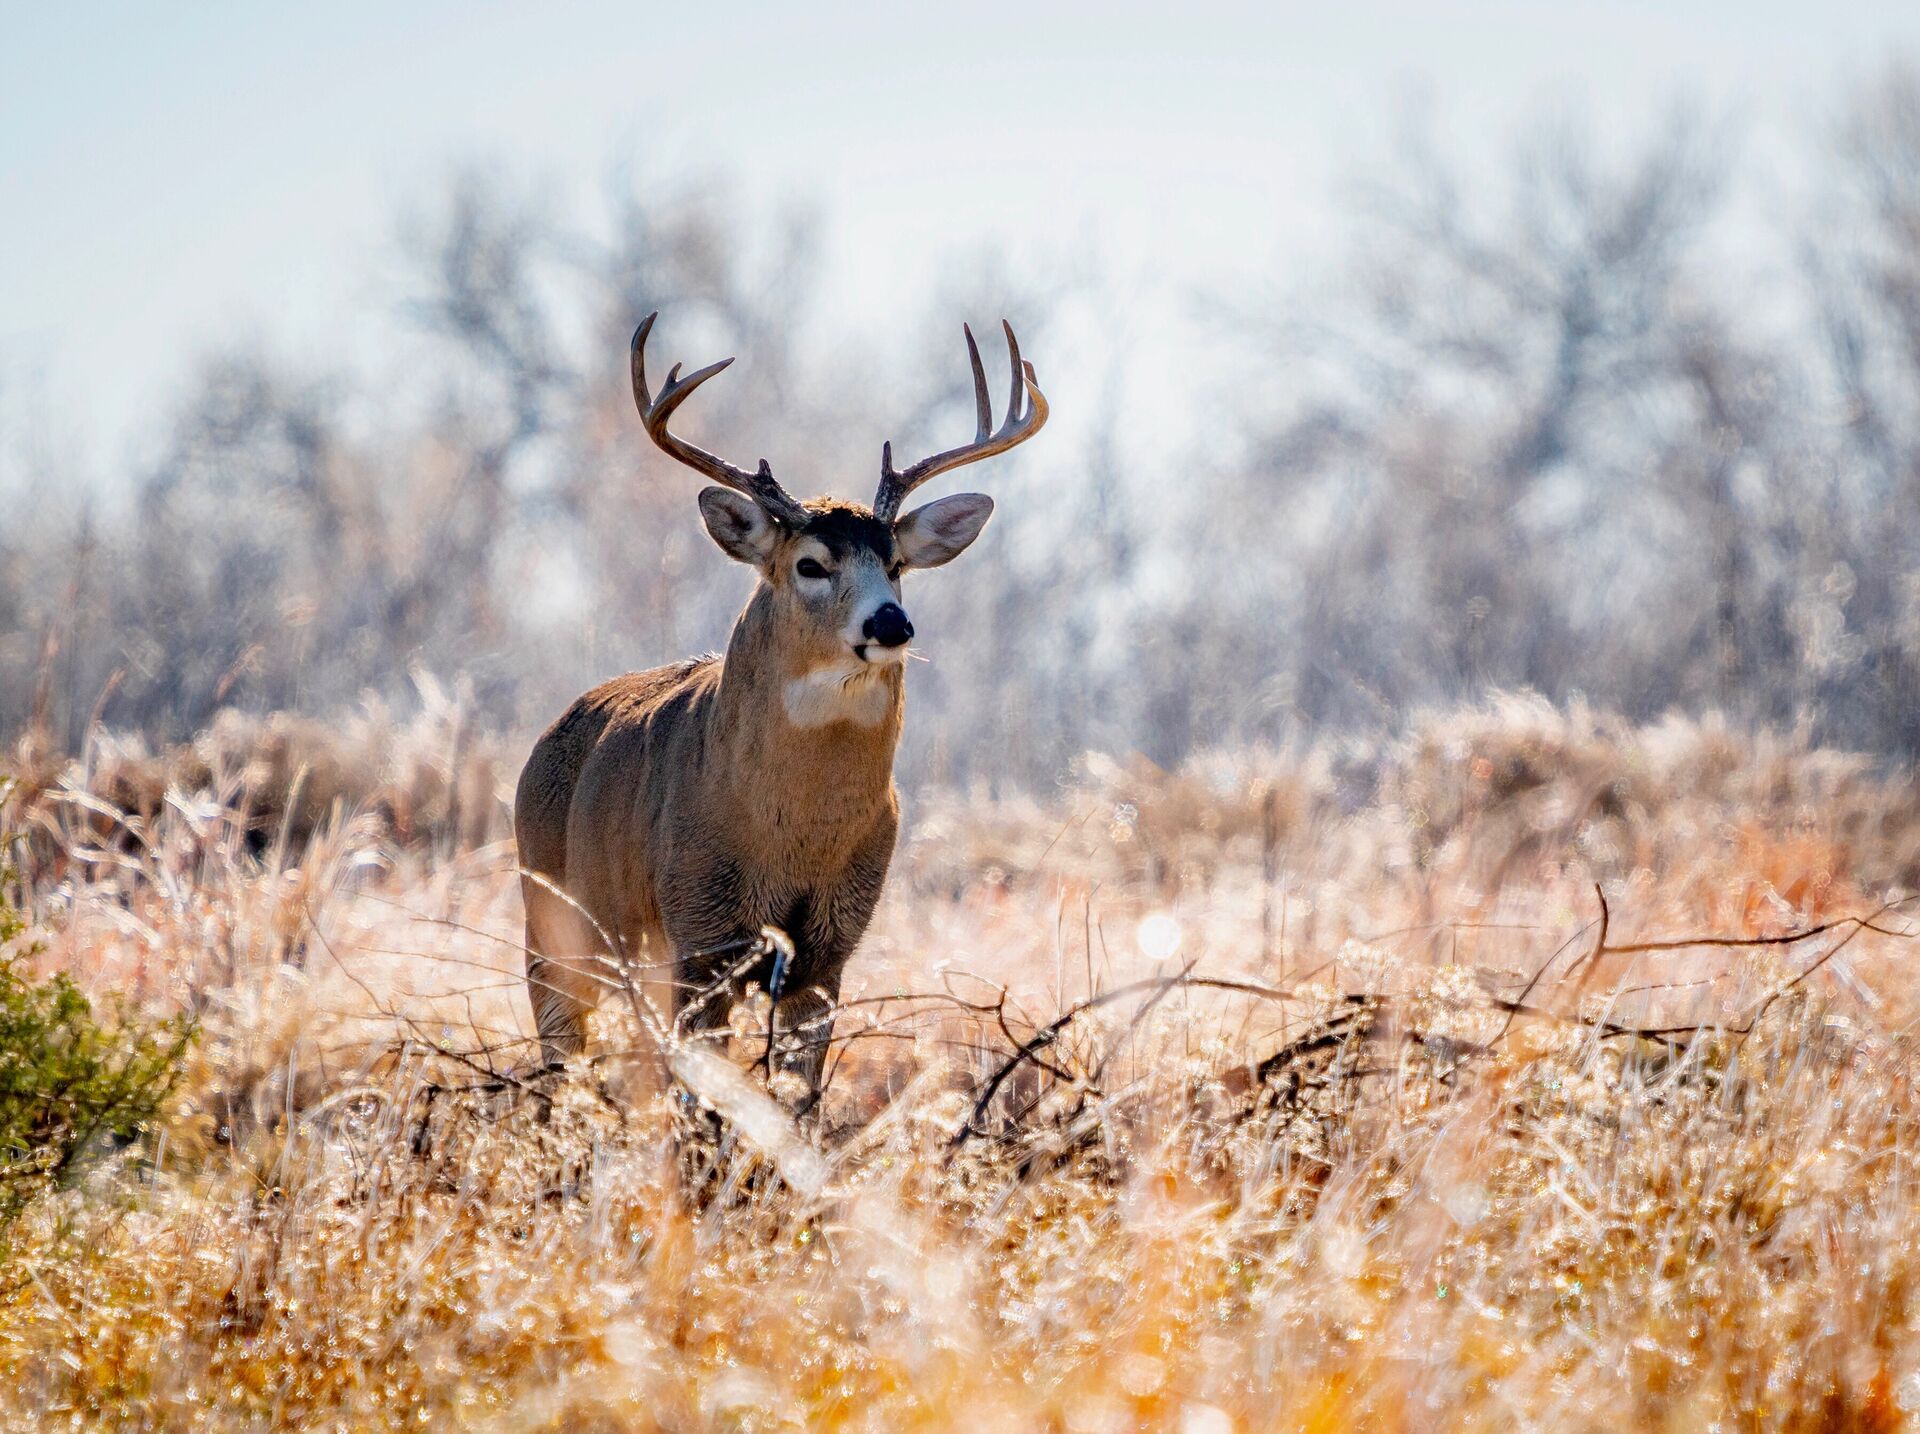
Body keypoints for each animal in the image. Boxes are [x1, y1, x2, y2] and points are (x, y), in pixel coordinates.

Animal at [514, 316, 1052, 1113]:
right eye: (810, 564)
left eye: (896, 563)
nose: (891, 623)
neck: (790, 832)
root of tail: (547, 738)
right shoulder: (699, 930)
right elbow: (701, 1096)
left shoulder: (829, 949)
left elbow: (798, 1097)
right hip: (550, 926)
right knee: (559, 1056)